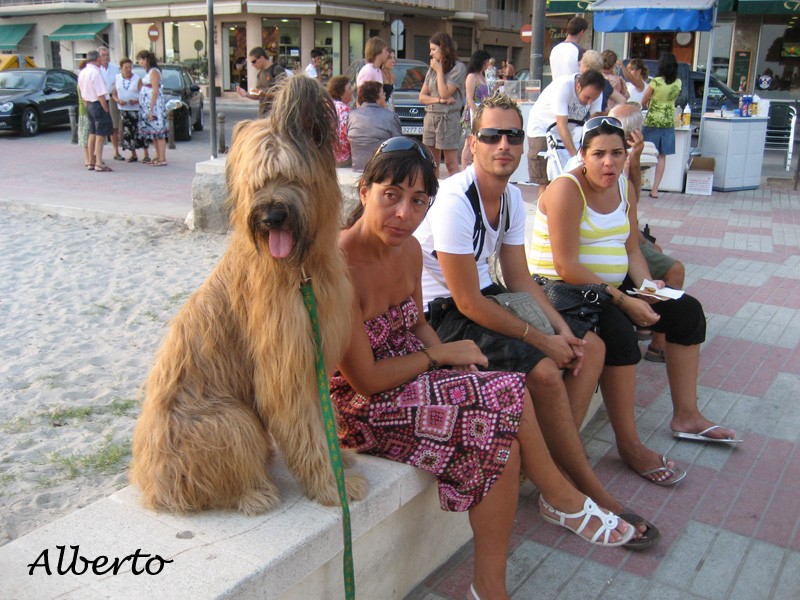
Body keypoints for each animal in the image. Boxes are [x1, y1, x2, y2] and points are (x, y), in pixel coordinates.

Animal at [131, 76, 368, 516]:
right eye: (255, 183)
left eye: (289, 176)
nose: (271, 215)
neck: (299, 270)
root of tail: (151, 486)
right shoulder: (284, 366)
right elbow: (307, 428)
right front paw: (331, 486)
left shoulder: (314, 353)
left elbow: (322, 418)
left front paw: (339, 460)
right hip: (230, 420)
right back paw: (256, 492)